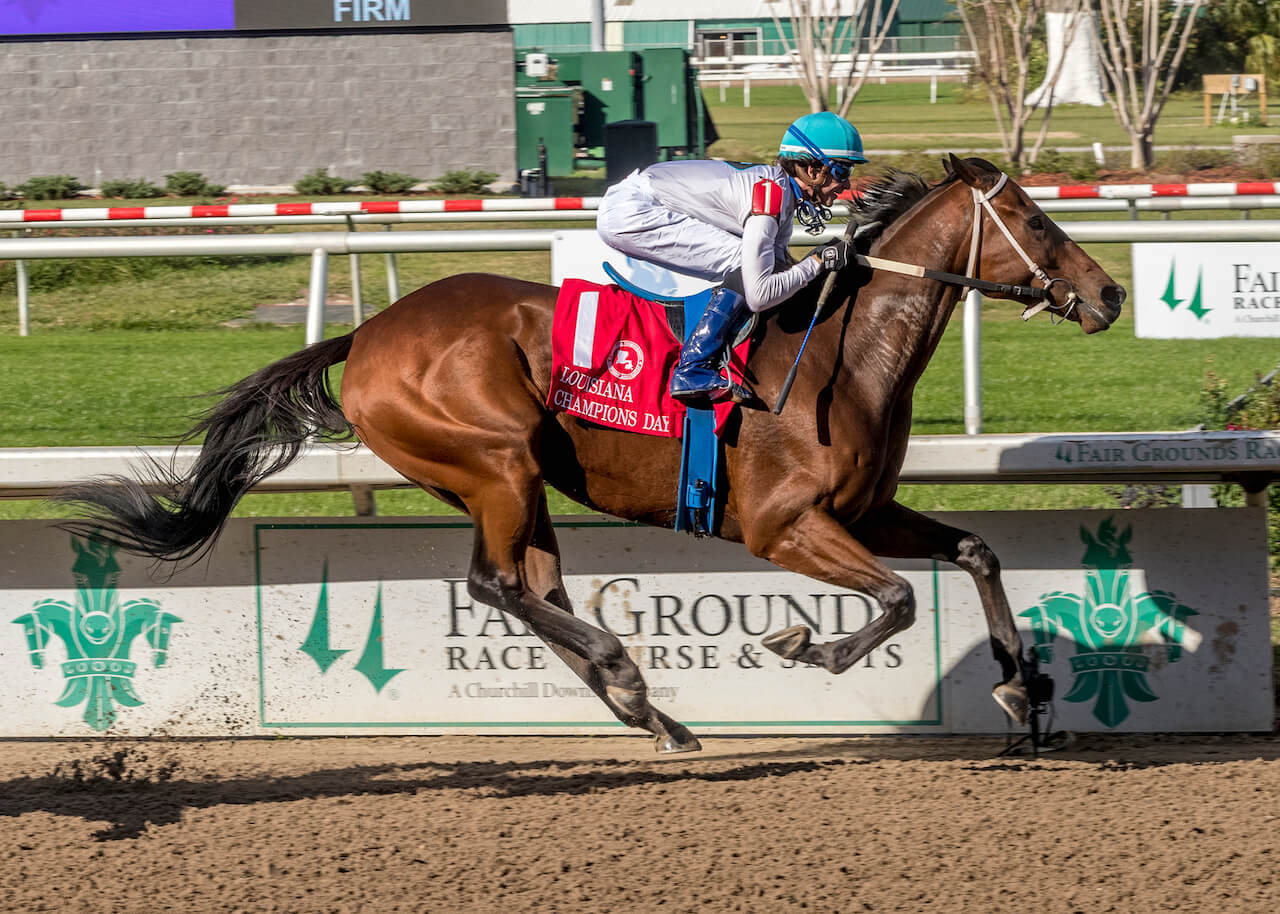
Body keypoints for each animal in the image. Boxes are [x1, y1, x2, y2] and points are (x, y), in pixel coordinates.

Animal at [61, 155, 1126, 753]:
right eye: (1037, 222)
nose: (1111, 294)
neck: (843, 349)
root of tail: (364, 336)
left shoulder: (864, 510)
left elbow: (976, 552)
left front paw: (1019, 687)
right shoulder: (782, 525)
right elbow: (897, 600)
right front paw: (806, 645)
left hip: (514, 479)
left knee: (534, 587)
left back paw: (644, 707)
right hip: (496, 459)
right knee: (497, 584)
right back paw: (626, 672)